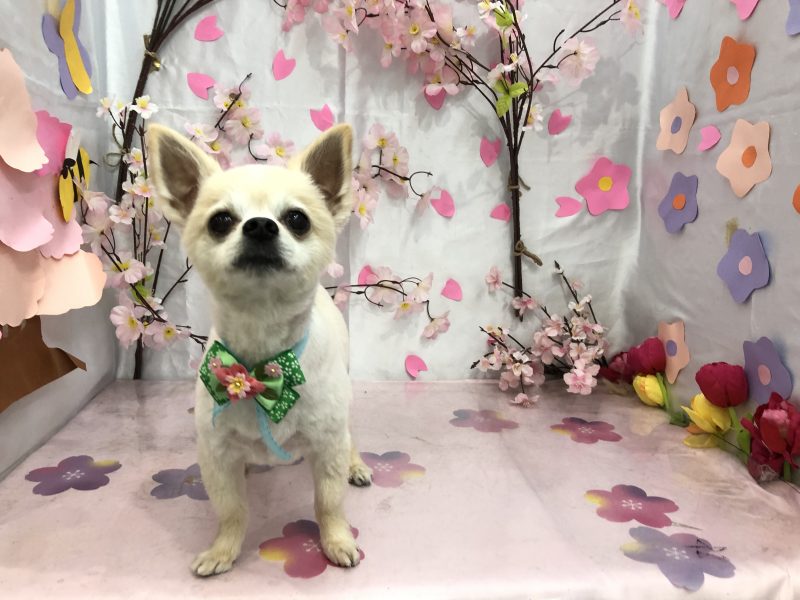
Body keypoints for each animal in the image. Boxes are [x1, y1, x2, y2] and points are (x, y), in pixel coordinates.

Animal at [147, 122, 372, 577]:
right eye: (221, 221)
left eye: (297, 219)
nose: (261, 227)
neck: (266, 359)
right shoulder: (215, 454)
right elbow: (232, 510)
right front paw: (222, 551)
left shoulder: (327, 444)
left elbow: (329, 502)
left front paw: (337, 541)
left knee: (349, 436)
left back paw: (357, 464)